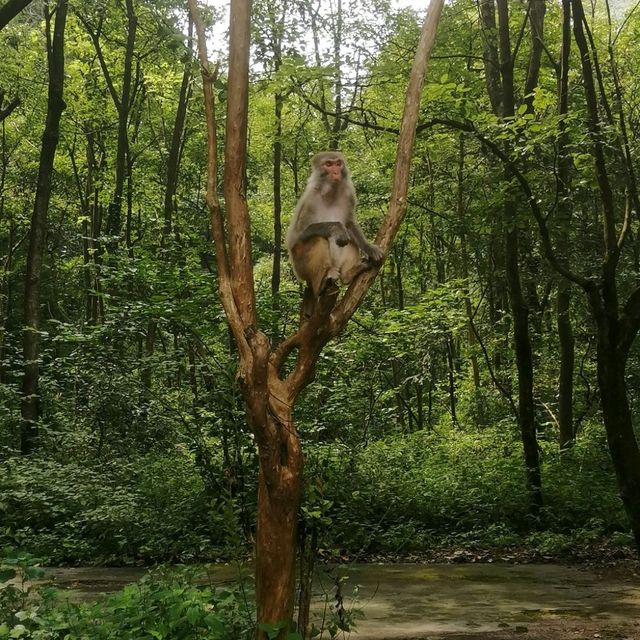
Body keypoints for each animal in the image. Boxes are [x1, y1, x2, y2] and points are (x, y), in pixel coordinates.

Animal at [286, 151, 384, 302]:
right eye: (328, 164)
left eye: (338, 163)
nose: (336, 172)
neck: (330, 194)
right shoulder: (310, 201)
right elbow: (301, 233)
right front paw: (337, 228)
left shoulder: (348, 195)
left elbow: (349, 224)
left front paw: (369, 248)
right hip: (300, 267)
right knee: (318, 239)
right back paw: (321, 283)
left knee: (350, 241)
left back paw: (348, 274)